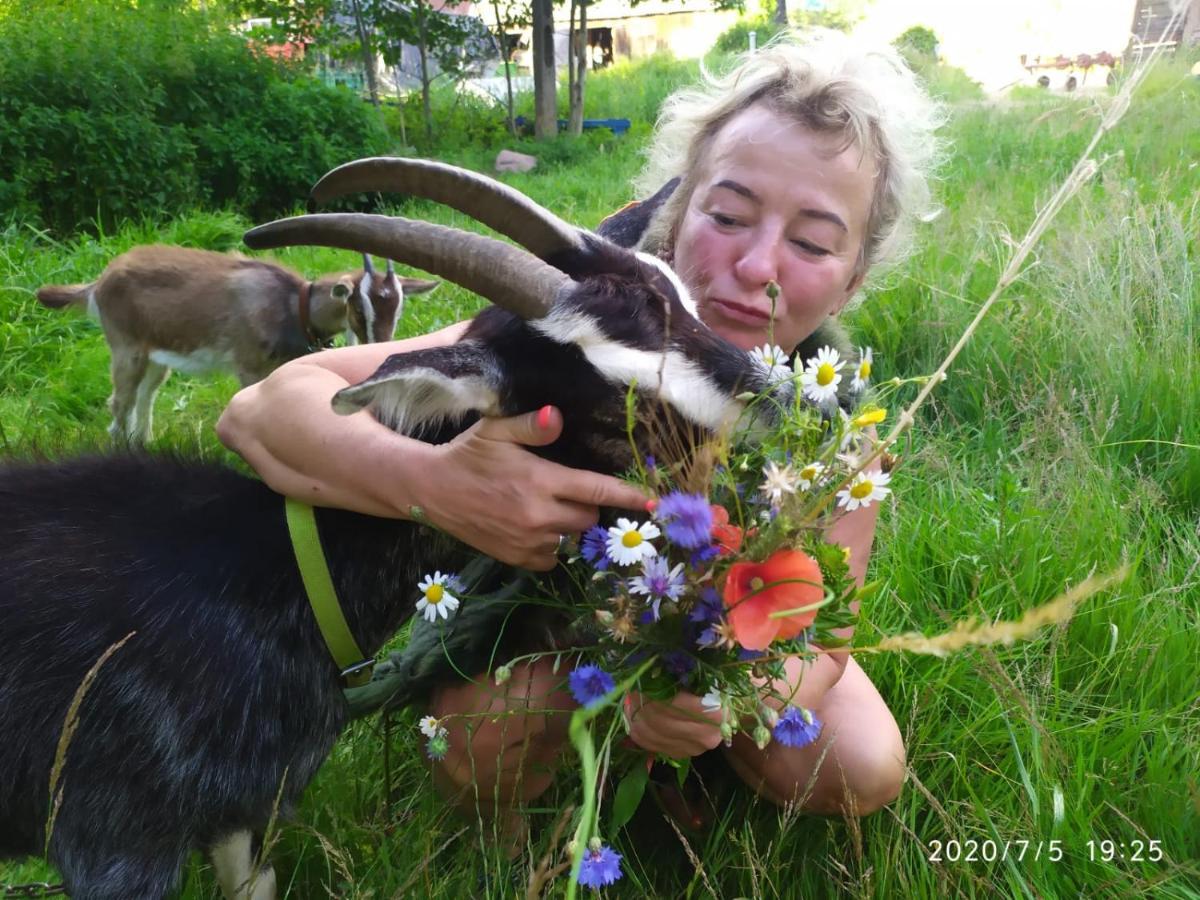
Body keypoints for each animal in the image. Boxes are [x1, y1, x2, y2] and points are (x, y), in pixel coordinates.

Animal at [2, 158, 796, 897]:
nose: (787, 406)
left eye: (685, 303)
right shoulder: (116, 839)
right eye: (611, 415)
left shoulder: (243, 812)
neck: (272, 570)